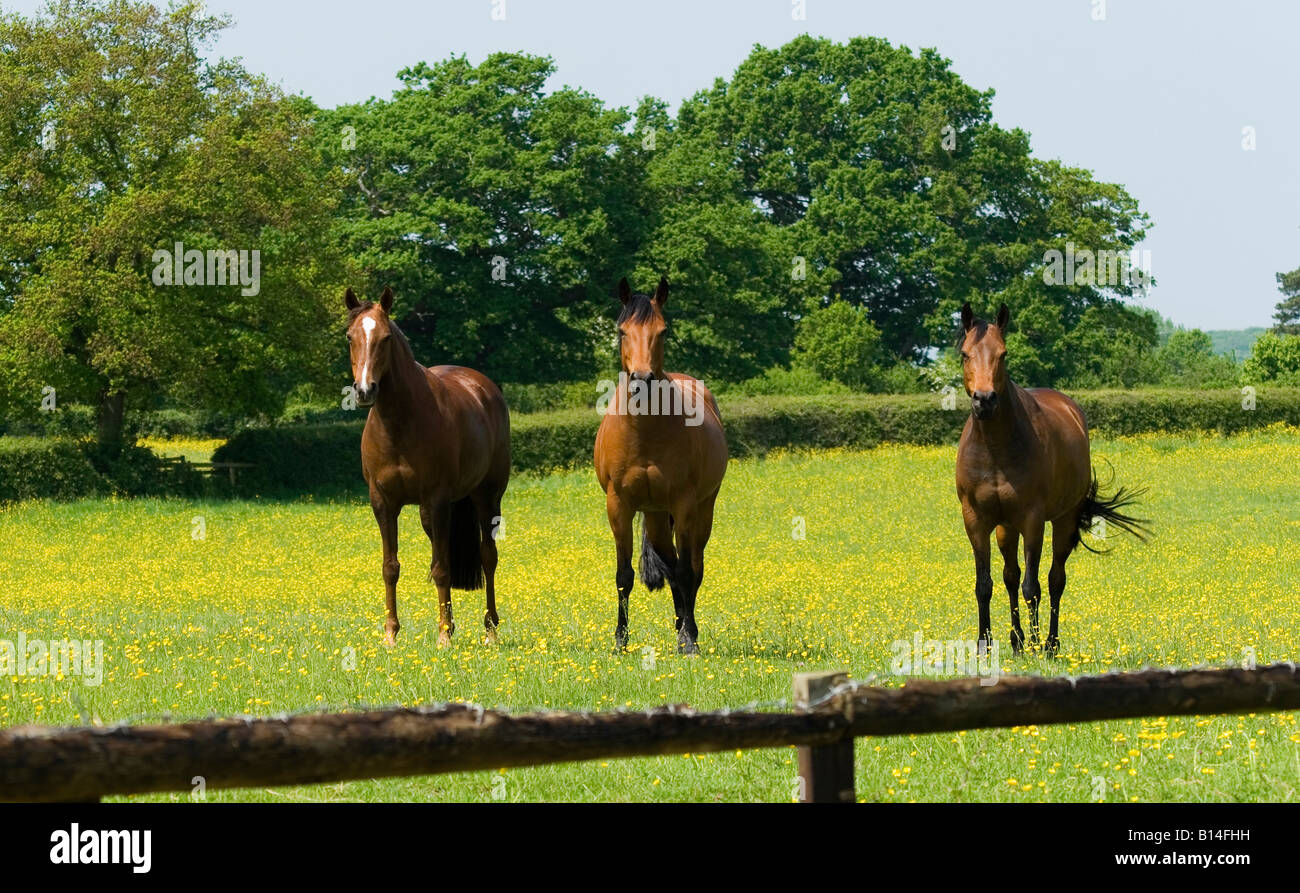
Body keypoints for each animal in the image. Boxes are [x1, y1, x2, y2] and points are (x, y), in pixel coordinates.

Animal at [343, 289, 509, 647]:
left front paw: (443, 637)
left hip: (486, 497)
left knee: (488, 557)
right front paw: (391, 635)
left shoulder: (437, 499)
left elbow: (443, 569)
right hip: (428, 515)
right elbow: (391, 567)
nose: (364, 391)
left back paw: (490, 630)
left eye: (385, 338)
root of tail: (483, 386)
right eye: (350, 337)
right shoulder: (383, 503)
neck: (399, 423)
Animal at [595, 279, 728, 657]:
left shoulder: (684, 504)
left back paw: (688, 629)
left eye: (663, 331)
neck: (645, 432)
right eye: (621, 331)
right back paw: (679, 621)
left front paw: (689, 641)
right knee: (670, 563)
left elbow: (686, 572)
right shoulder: (618, 506)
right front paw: (620, 641)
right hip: (655, 516)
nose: (643, 378)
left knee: (692, 567)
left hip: (702, 510)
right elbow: (623, 576)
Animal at [956, 301, 1149, 657]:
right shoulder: (975, 520)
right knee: (1009, 575)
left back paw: (1048, 643)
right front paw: (984, 646)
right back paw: (1017, 640)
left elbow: (1032, 586)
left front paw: (1034, 644)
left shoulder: (1033, 520)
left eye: (1003, 354)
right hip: (1006, 527)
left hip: (1063, 520)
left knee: (1055, 578)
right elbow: (985, 584)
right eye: (965, 354)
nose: (984, 400)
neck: (994, 448)